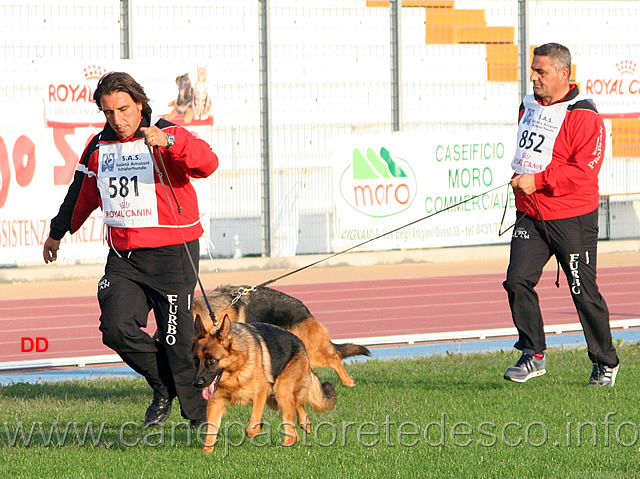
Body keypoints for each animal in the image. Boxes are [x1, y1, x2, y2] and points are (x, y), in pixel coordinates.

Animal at [192, 316, 338, 454]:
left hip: (281, 393)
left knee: (293, 434)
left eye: (211, 360)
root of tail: (301, 343)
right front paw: (206, 452)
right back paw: (305, 423)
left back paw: (280, 447)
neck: (235, 370)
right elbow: (210, 430)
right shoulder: (215, 403)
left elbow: (251, 426)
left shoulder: (260, 393)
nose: (196, 383)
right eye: (196, 360)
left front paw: (258, 427)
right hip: (275, 398)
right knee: (298, 405)